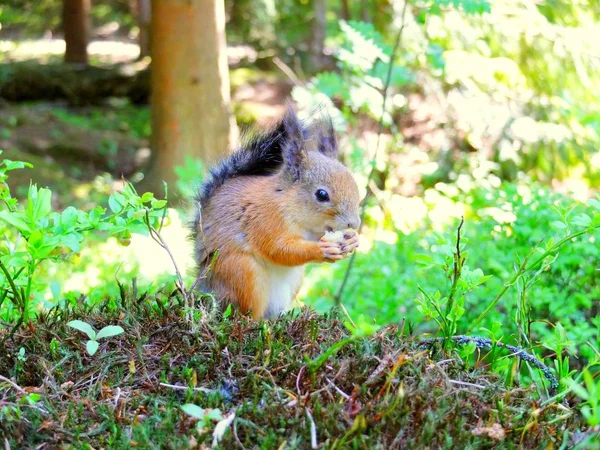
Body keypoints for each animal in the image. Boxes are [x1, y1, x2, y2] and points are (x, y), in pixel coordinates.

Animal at [195, 105, 358, 318]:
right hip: (242, 272)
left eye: (355, 185)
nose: (354, 223)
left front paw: (352, 241)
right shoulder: (265, 219)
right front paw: (320, 250)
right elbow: (277, 248)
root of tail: (203, 284)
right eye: (322, 194)